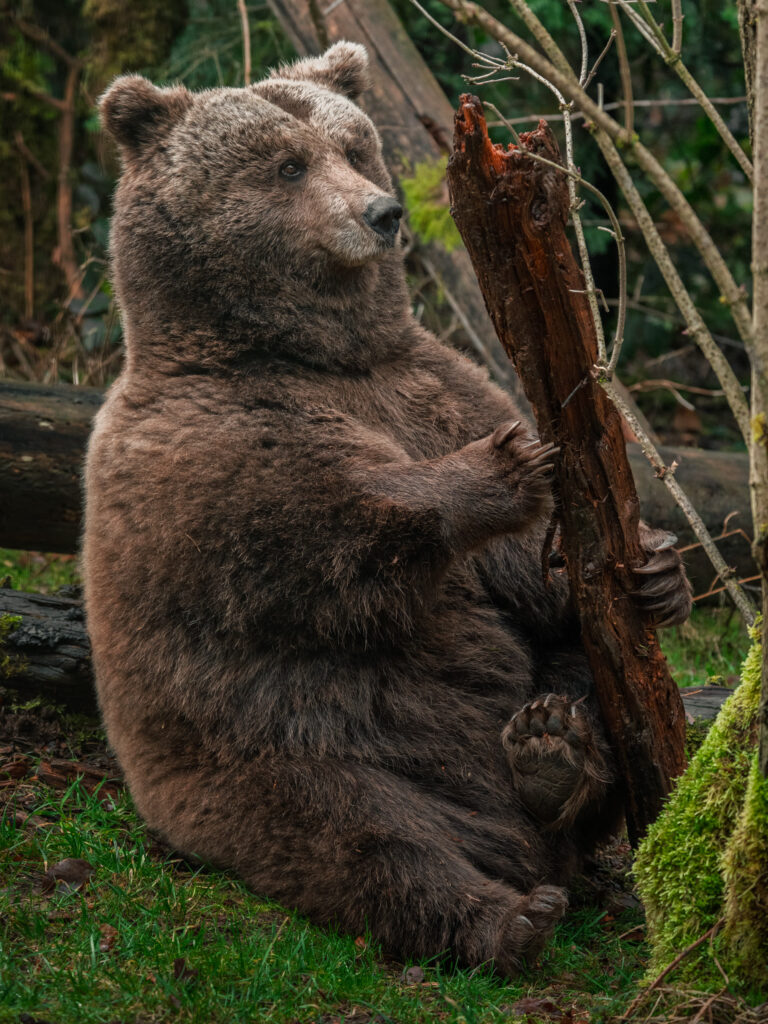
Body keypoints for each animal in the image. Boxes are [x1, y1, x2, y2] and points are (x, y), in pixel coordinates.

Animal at [84, 42, 692, 977]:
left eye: (354, 148)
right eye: (288, 165)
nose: (381, 213)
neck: (319, 354)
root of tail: (510, 841)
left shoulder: (432, 385)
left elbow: (538, 571)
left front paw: (657, 566)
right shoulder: (201, 445)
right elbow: (313, 537)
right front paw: (501, 468)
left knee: (576, 679)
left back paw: (554, 754)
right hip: (279, 750)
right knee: (363, 835)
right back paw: (508, 917)